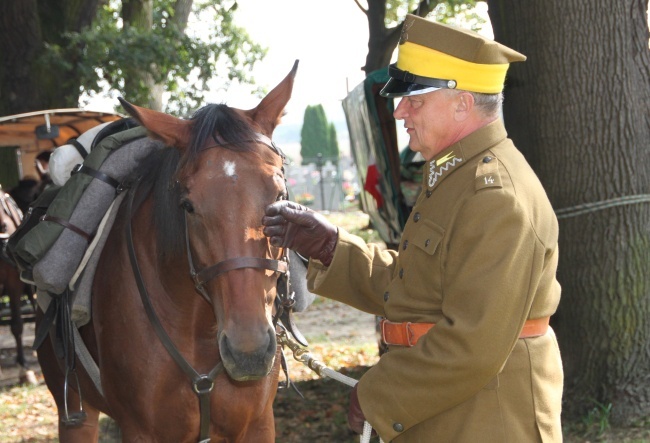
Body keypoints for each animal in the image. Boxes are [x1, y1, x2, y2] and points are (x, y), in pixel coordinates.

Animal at [39, 61, 302, 440]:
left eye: (280, 195)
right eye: (187, 205)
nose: (248, 350)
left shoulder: (258, 425)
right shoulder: (140, 431)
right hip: (74, 411)